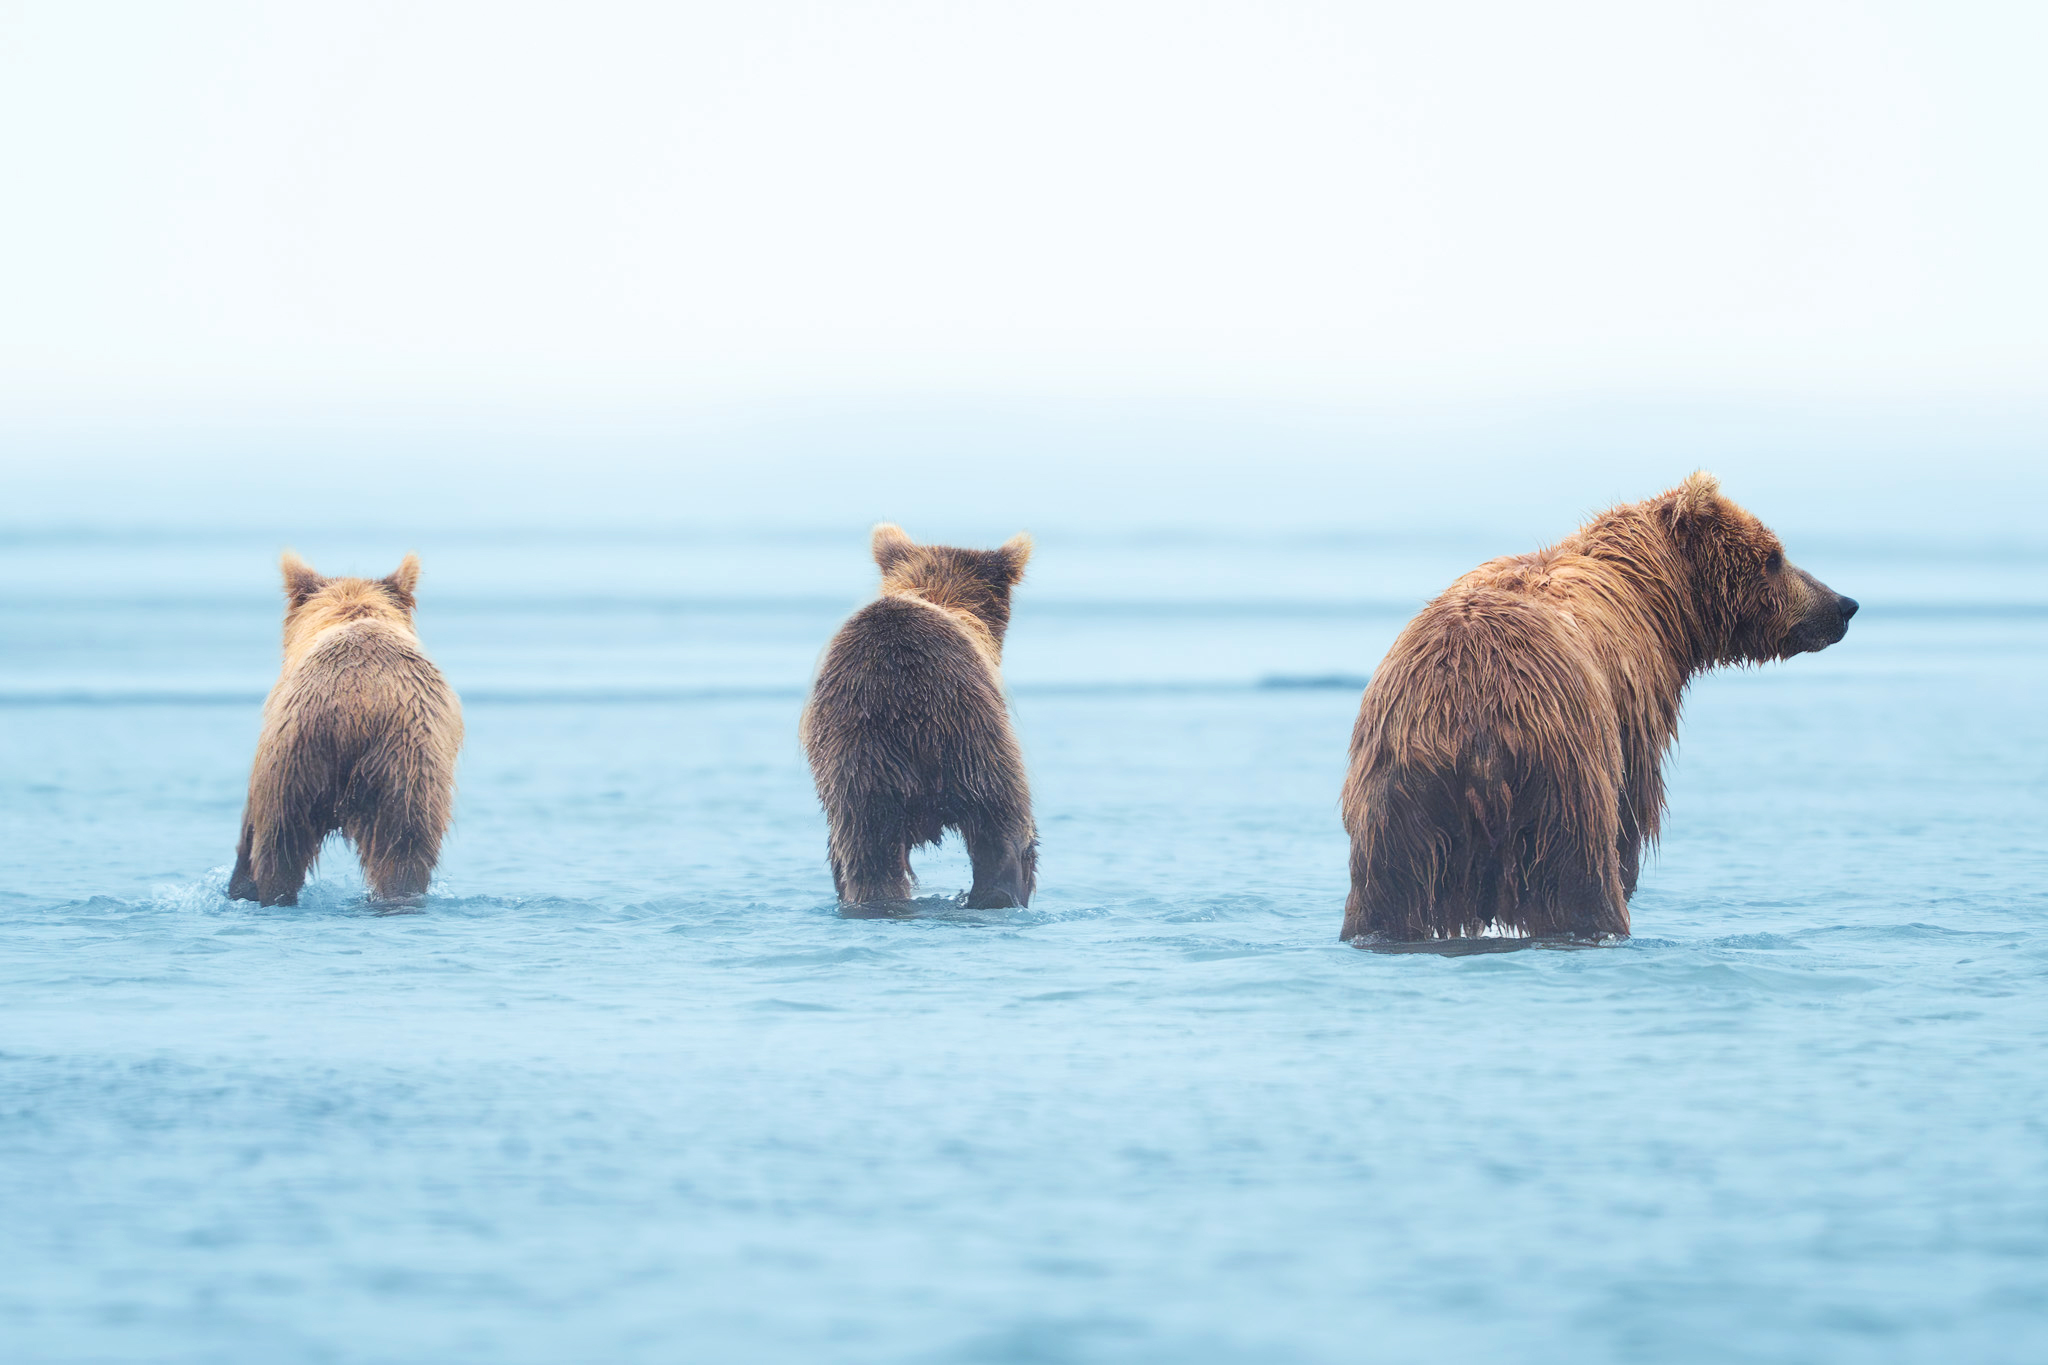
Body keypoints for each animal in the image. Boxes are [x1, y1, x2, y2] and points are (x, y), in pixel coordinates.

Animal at [229, 548, 464, 912]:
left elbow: (250, 827)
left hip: (298, 757)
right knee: (403, 848)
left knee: (277, 846)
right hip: (405, 769)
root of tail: (356, 708)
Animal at [1343, 474, 1859, 945]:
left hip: (1397, 801)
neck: (1657, 598)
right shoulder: (1635, 708)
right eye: (1773, 557)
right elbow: (1634, 808)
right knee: (1580, 878)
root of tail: (1474, 726)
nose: (1844, 605)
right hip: (1563, 781)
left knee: (1385, 896)